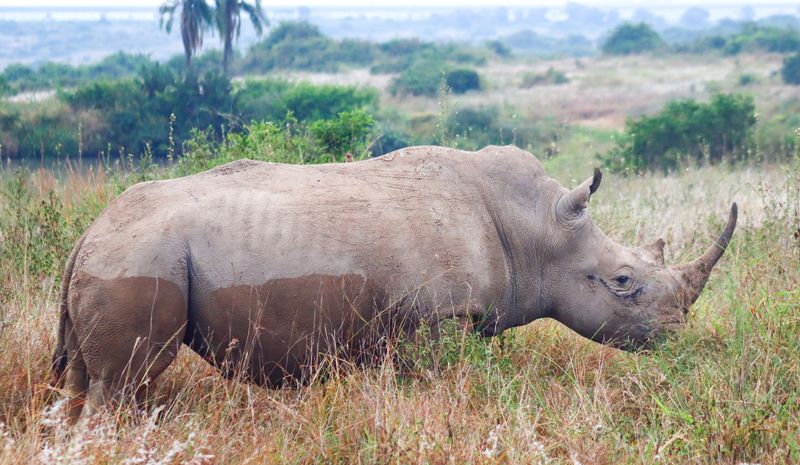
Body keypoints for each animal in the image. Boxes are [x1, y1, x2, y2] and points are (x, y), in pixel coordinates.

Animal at [51, 145, 737, 421]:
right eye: (623, 281)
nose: (678, 336)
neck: (536, 227)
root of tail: (87, 232)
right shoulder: (438, 321)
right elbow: (443, 387)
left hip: (124, 251)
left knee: (87, 381)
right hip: (143, 253)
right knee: (124, 381)